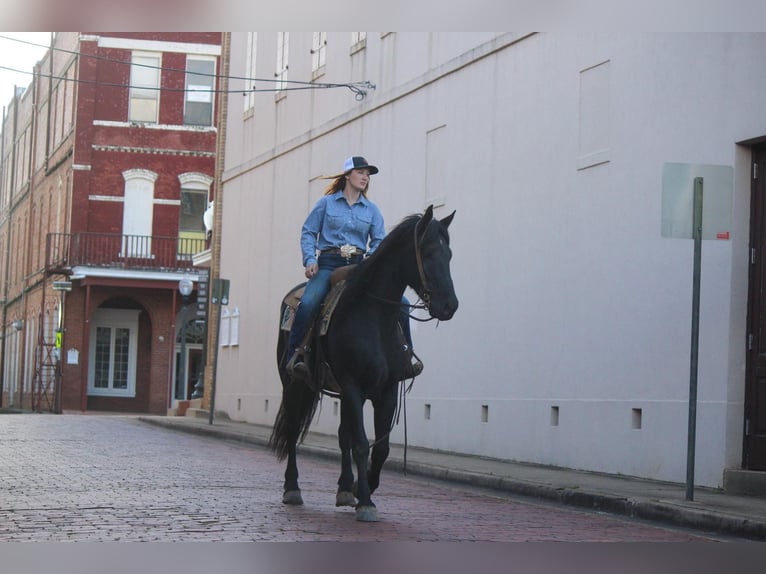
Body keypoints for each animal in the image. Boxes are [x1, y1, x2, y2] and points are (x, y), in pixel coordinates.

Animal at [270, 206, 460, 520]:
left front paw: (363, 487)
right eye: (428, 252)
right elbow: (361, 444)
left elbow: (380, 448)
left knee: (341, 436)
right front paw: (366, 501)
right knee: (294, 429)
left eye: (449, 255)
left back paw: (345, 488)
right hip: (294, 385)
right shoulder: (352, 384)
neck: (373, 315)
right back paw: (292, 488)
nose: (449, 305)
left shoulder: (386, 390)